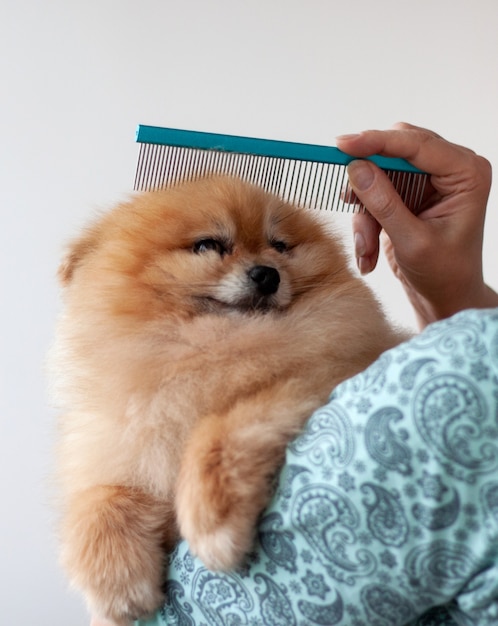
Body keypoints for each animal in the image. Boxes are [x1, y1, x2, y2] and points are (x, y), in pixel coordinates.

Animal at [49, 174, 400, 620]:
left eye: (279, 245)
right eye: (209, 245)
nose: (267, 274)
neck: (212, 348)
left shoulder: (325, 376)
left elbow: (217, 430)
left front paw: (213, 524)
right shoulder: (125, 448)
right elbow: (100, 498)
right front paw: (117, 583)